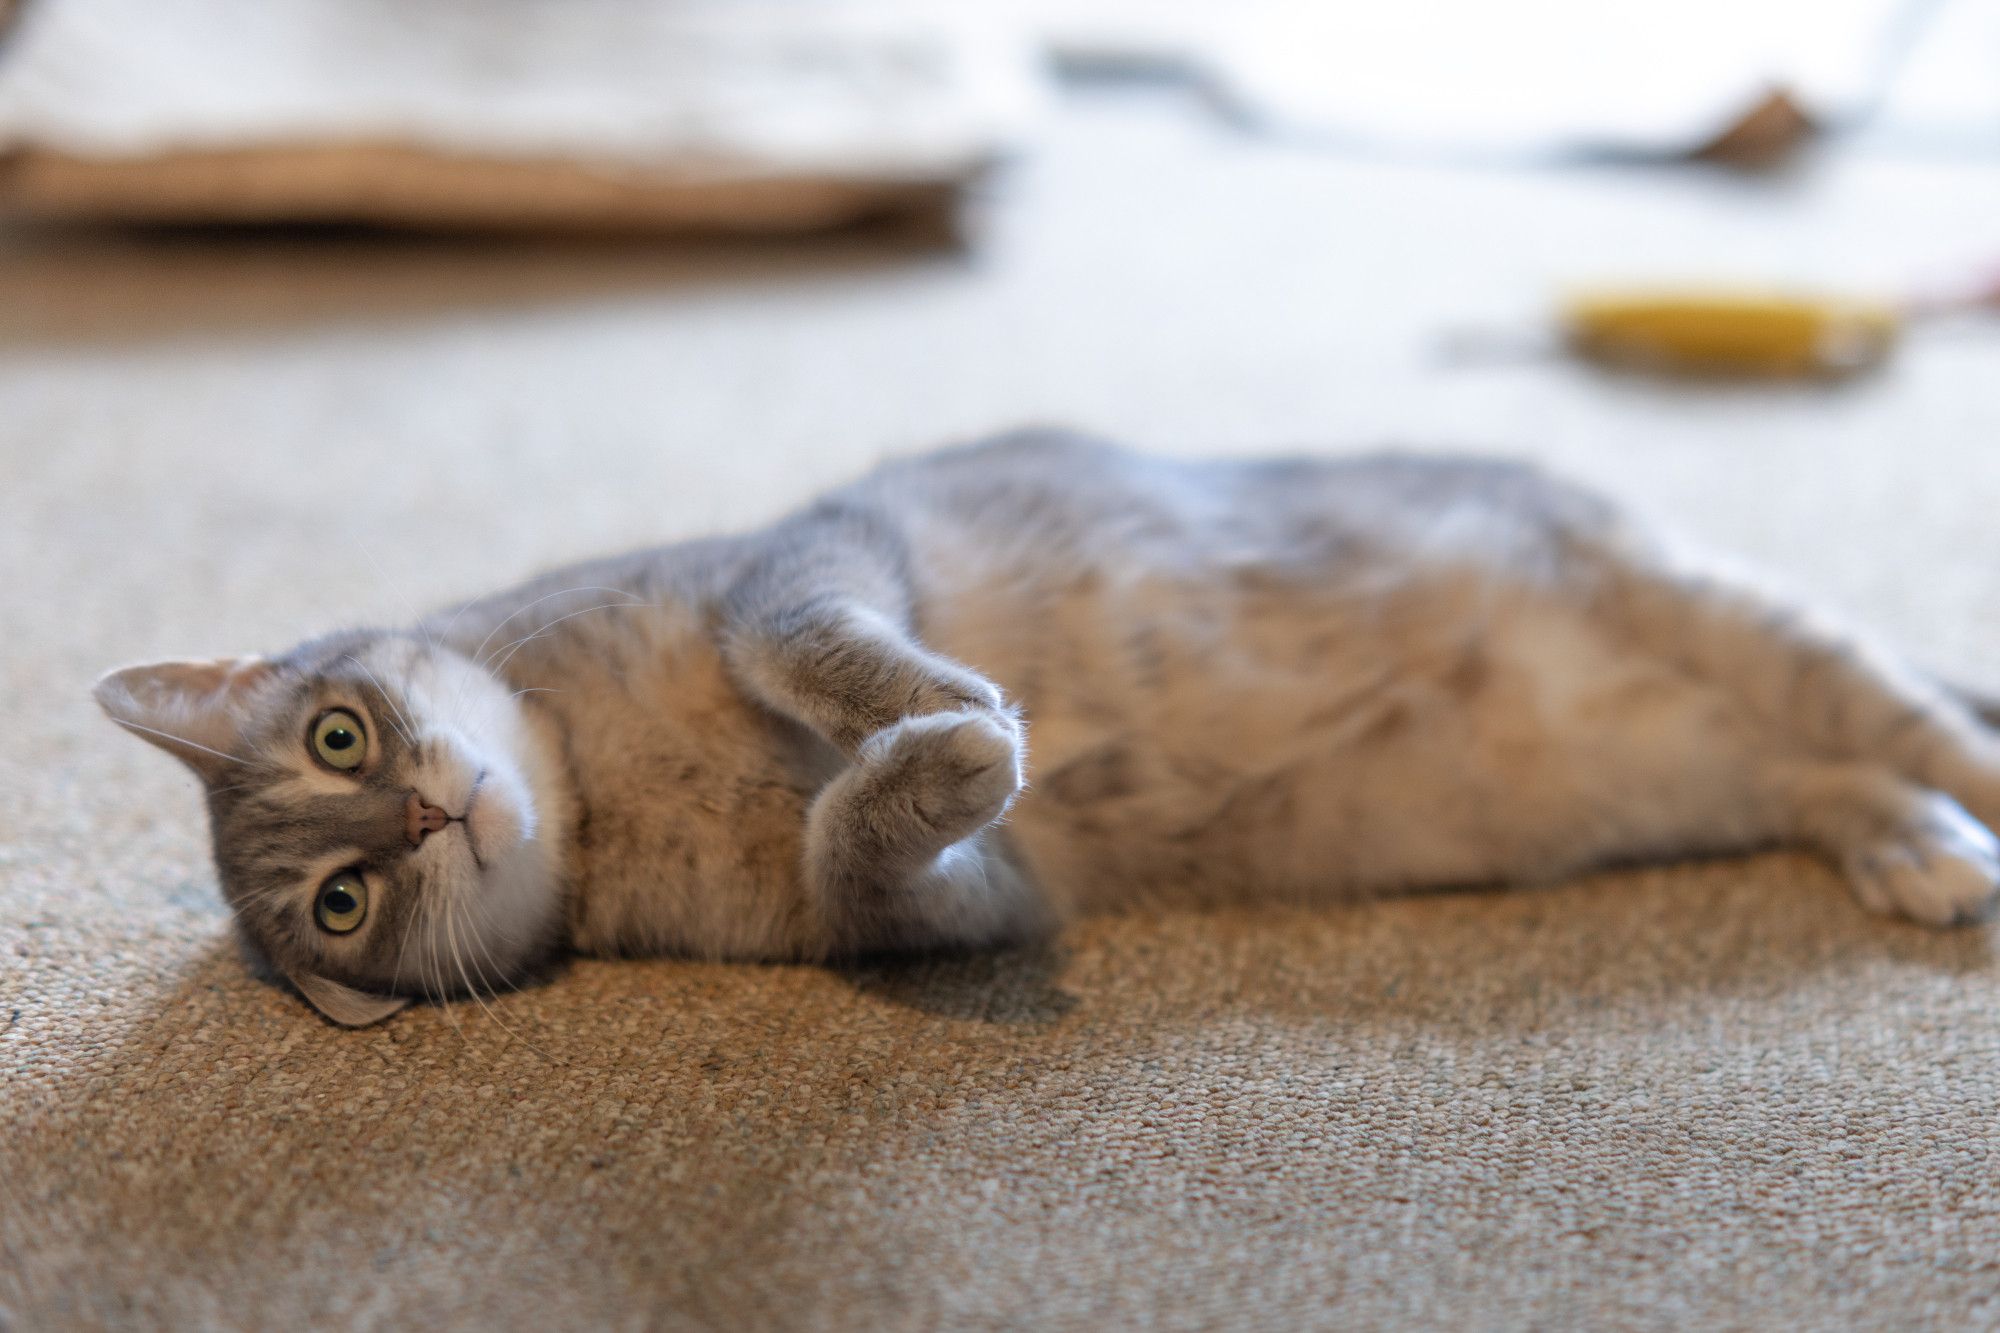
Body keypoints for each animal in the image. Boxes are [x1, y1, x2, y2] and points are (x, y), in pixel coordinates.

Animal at [97, 430, 2000, 1020]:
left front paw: (937, 708)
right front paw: (945, 754)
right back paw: (1919, 850)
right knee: (1833, 770)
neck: (602, 771)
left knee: (1924, 716)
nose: (421, 820)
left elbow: (808, 644)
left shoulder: (803, 559)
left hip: (1730, 620)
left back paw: (1951, 806)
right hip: (1674, 766)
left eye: (340, 741)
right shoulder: (943, 903)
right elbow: (864, 837)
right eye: (342, 901)